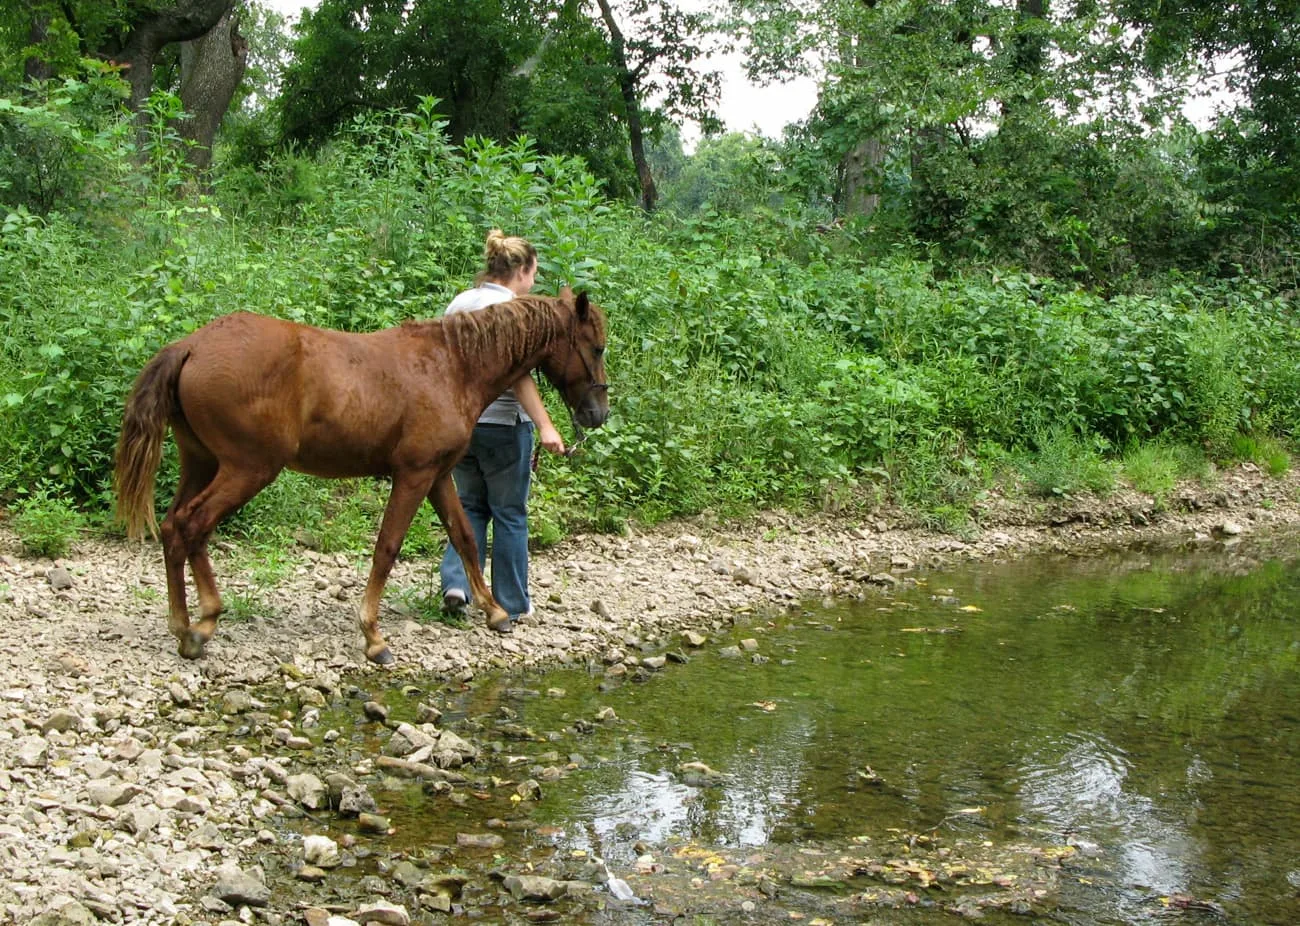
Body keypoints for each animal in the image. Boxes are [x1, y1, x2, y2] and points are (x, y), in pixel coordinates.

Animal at [113, 288, 608, 665]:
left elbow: (465, 536)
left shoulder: (438, 476)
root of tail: (191, 346)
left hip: (201, 463)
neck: (451, 365)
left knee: (175, 528)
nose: (598, 414)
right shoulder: (412, 476)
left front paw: (494, 612)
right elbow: (387, 548)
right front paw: (373, 636)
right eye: (597, 347)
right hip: (246, 470)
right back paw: (197, 627)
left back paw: (190, 622)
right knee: (191, 527)